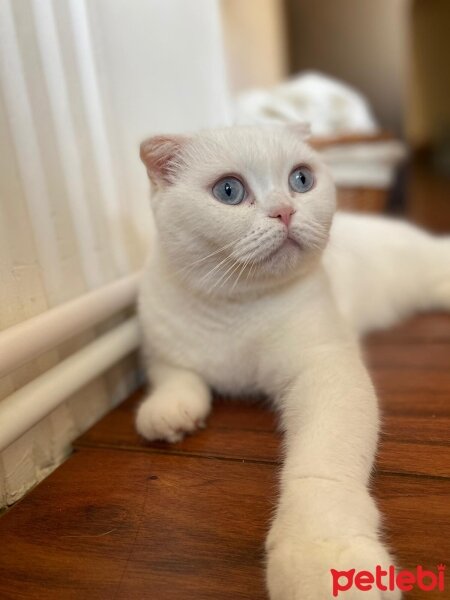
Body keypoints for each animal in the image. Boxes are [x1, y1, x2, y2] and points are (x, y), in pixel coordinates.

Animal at [136, 124, 450, 596]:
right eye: (229, 190)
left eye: (301, 180)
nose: (284, 210)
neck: (236, 308)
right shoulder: (162, 345)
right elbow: (176, 375)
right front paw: (170, 412)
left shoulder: (325, 368)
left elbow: (320, 468)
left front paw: (322, 558)